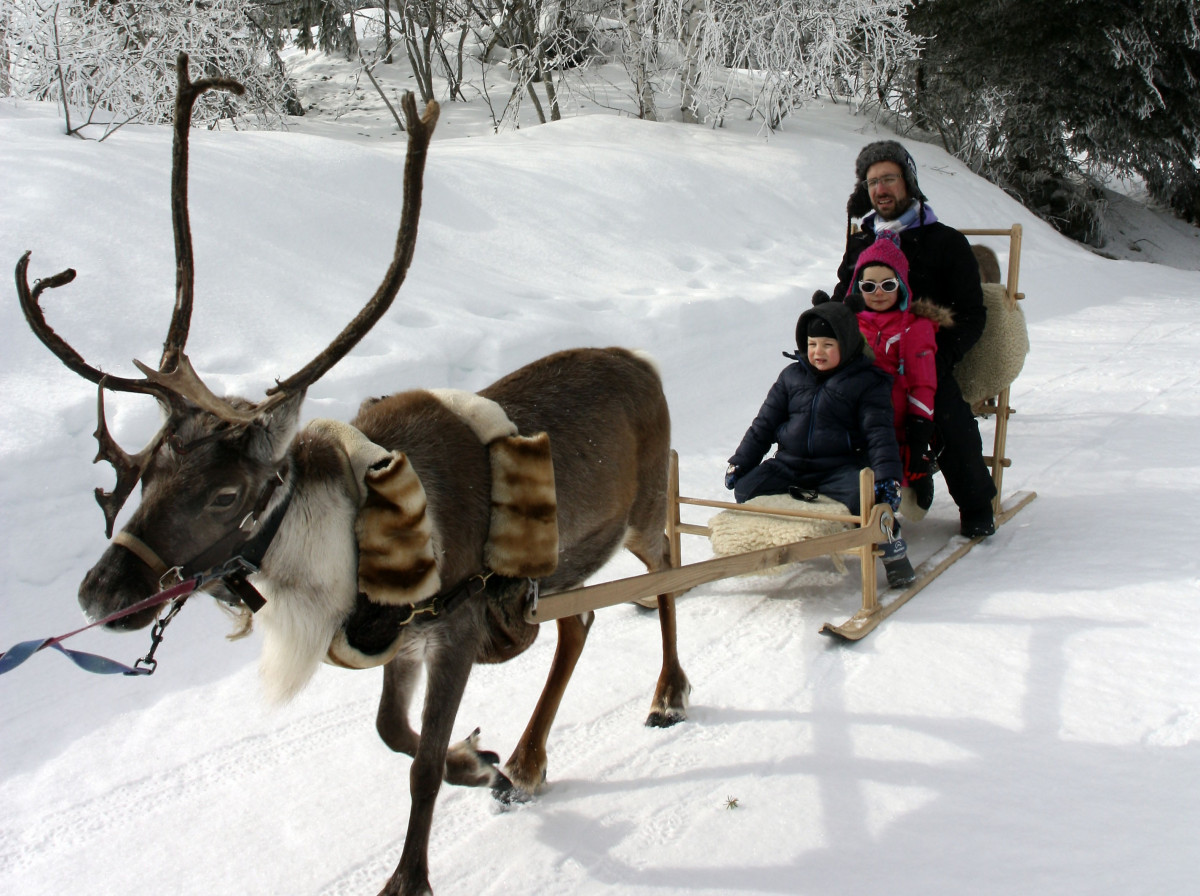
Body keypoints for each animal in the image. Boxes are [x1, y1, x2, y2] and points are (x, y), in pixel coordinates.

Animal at [15, 55, 690, 896]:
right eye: (149, 474)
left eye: (227, 493)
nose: (100, 593)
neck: (345, 548)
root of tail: (644, 364)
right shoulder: (401, 644)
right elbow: (390, 734)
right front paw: (481, 759)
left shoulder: (455, 629)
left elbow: (420, 765)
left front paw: (412, 870)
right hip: (567, 560)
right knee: (579, 620)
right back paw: (527, 763)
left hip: (644, 508)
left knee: (669, 571)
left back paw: (668, 693)